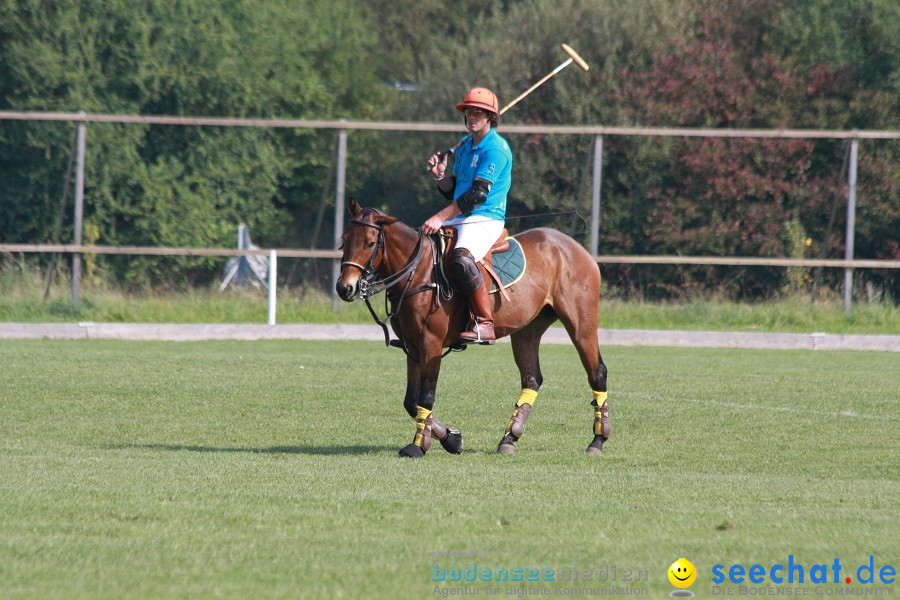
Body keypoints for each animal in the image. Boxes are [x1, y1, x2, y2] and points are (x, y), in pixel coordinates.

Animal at [338, 199, 612, 458]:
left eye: (370, 243)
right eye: (344, 239)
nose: (345, 288)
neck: (419, 272)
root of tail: (577, 248)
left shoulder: (431, 344)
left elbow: (425, 397)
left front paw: (418, 446)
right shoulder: (413, 347)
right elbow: (411, 402)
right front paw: (451, 439)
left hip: (581, 323)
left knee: (597, 372)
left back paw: (598, 440)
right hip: (527, 329)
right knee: (532, 378)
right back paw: (509, 438)